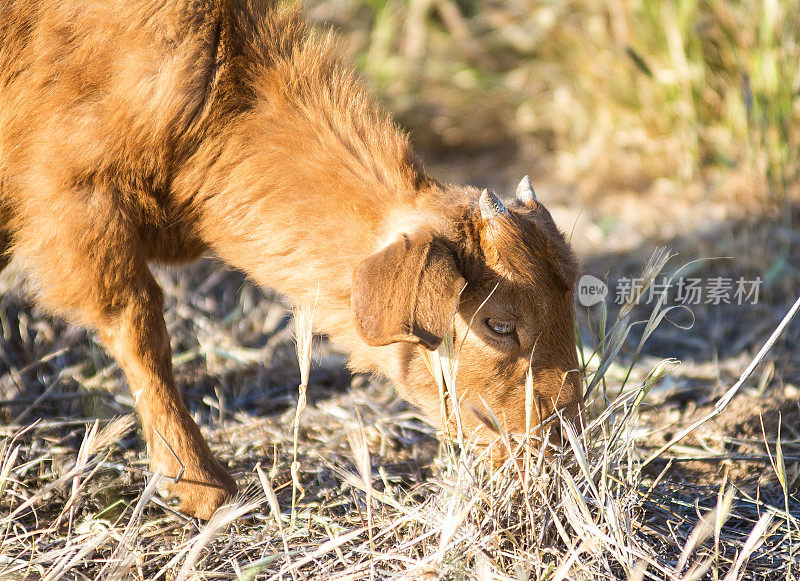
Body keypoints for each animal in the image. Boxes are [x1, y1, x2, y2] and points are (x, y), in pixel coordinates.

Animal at [0, 0, 580, 516]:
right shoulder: (73, 200)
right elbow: (138, 326)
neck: (216, 92)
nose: (561, 454)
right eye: (499, 325)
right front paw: (204, 487)